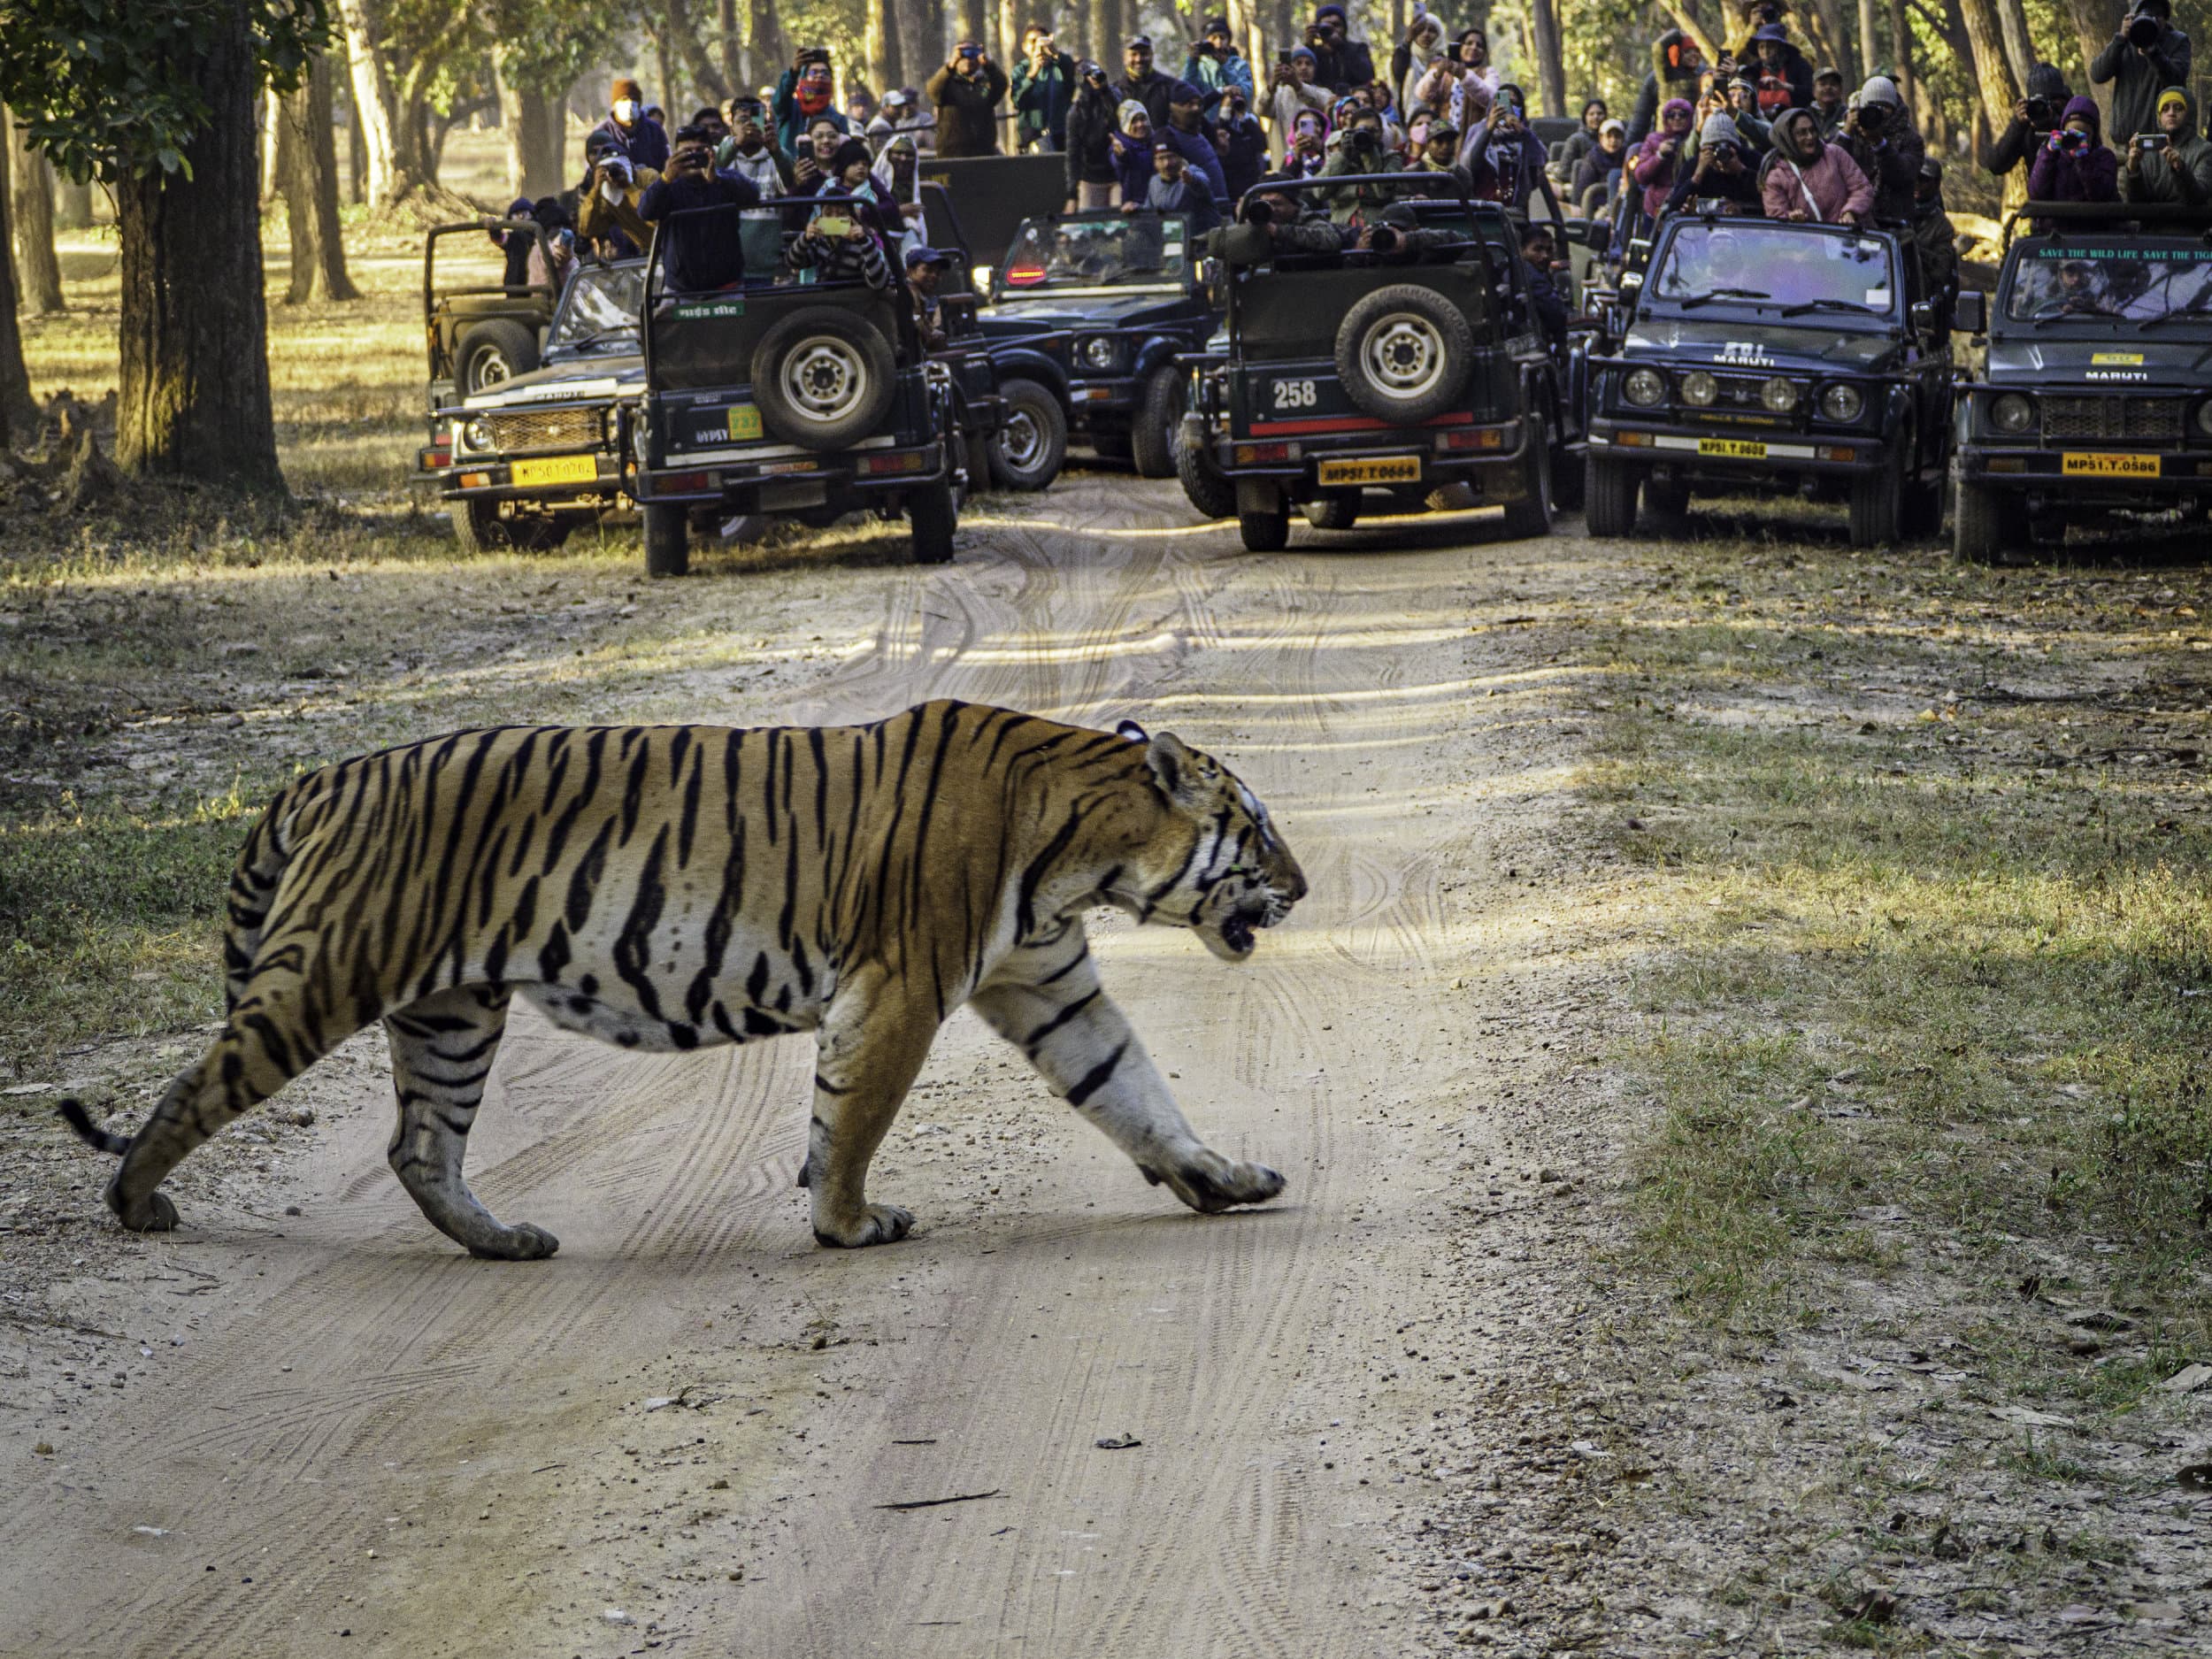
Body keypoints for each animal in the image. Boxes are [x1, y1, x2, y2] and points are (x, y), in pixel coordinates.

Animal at [60, 700, 1306, 1256]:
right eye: (1255, 829)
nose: (1301, 886)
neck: (1085, 847)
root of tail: (319, 776)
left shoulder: (1049, 987)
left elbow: (1133, 1090)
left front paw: (1220, 1177)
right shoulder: (900, 986)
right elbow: (852, 1119)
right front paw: (848, 1225)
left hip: (452, 1012)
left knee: (419, 1146)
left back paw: (503, 1241)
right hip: (323, 976)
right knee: (195, 1088)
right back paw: (136, 1204)